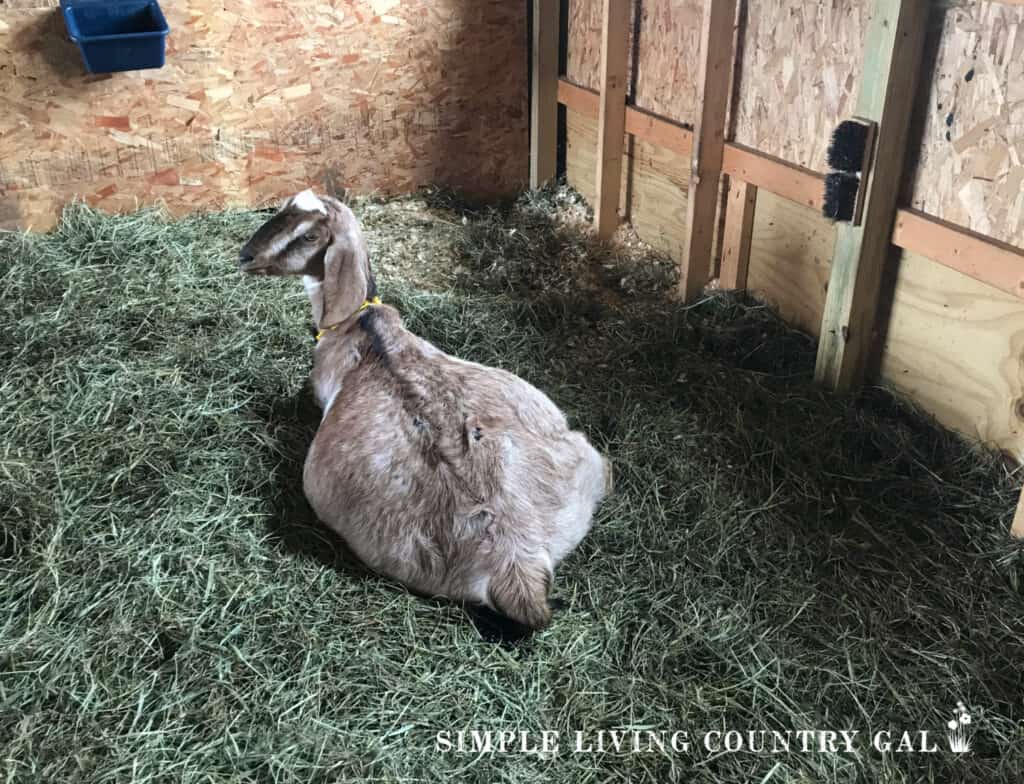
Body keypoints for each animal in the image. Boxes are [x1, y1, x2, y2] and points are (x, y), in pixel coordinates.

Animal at [235, 192, 610, 630]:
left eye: (310, 235)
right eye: (282, 208)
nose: (246, 256)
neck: (361, 326)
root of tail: (517, 558)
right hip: (582, 457)